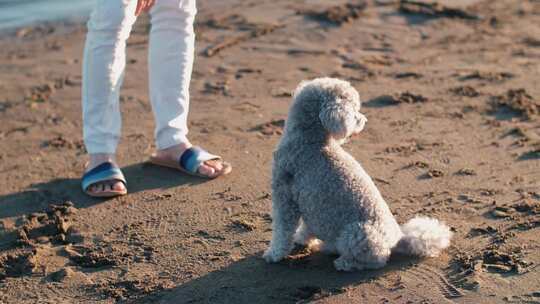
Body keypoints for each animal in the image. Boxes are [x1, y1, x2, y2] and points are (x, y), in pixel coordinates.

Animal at [262, 77, 452, 272]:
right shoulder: (308, 200)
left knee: (376, 260)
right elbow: (305, 227)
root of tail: (398, 239)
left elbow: (282, 230)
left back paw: (344, 262)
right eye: (353, 108)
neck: (311, 141)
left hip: (356, 233)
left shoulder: (284, 196)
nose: (364, 120)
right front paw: (301, 239)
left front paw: (274, 254)